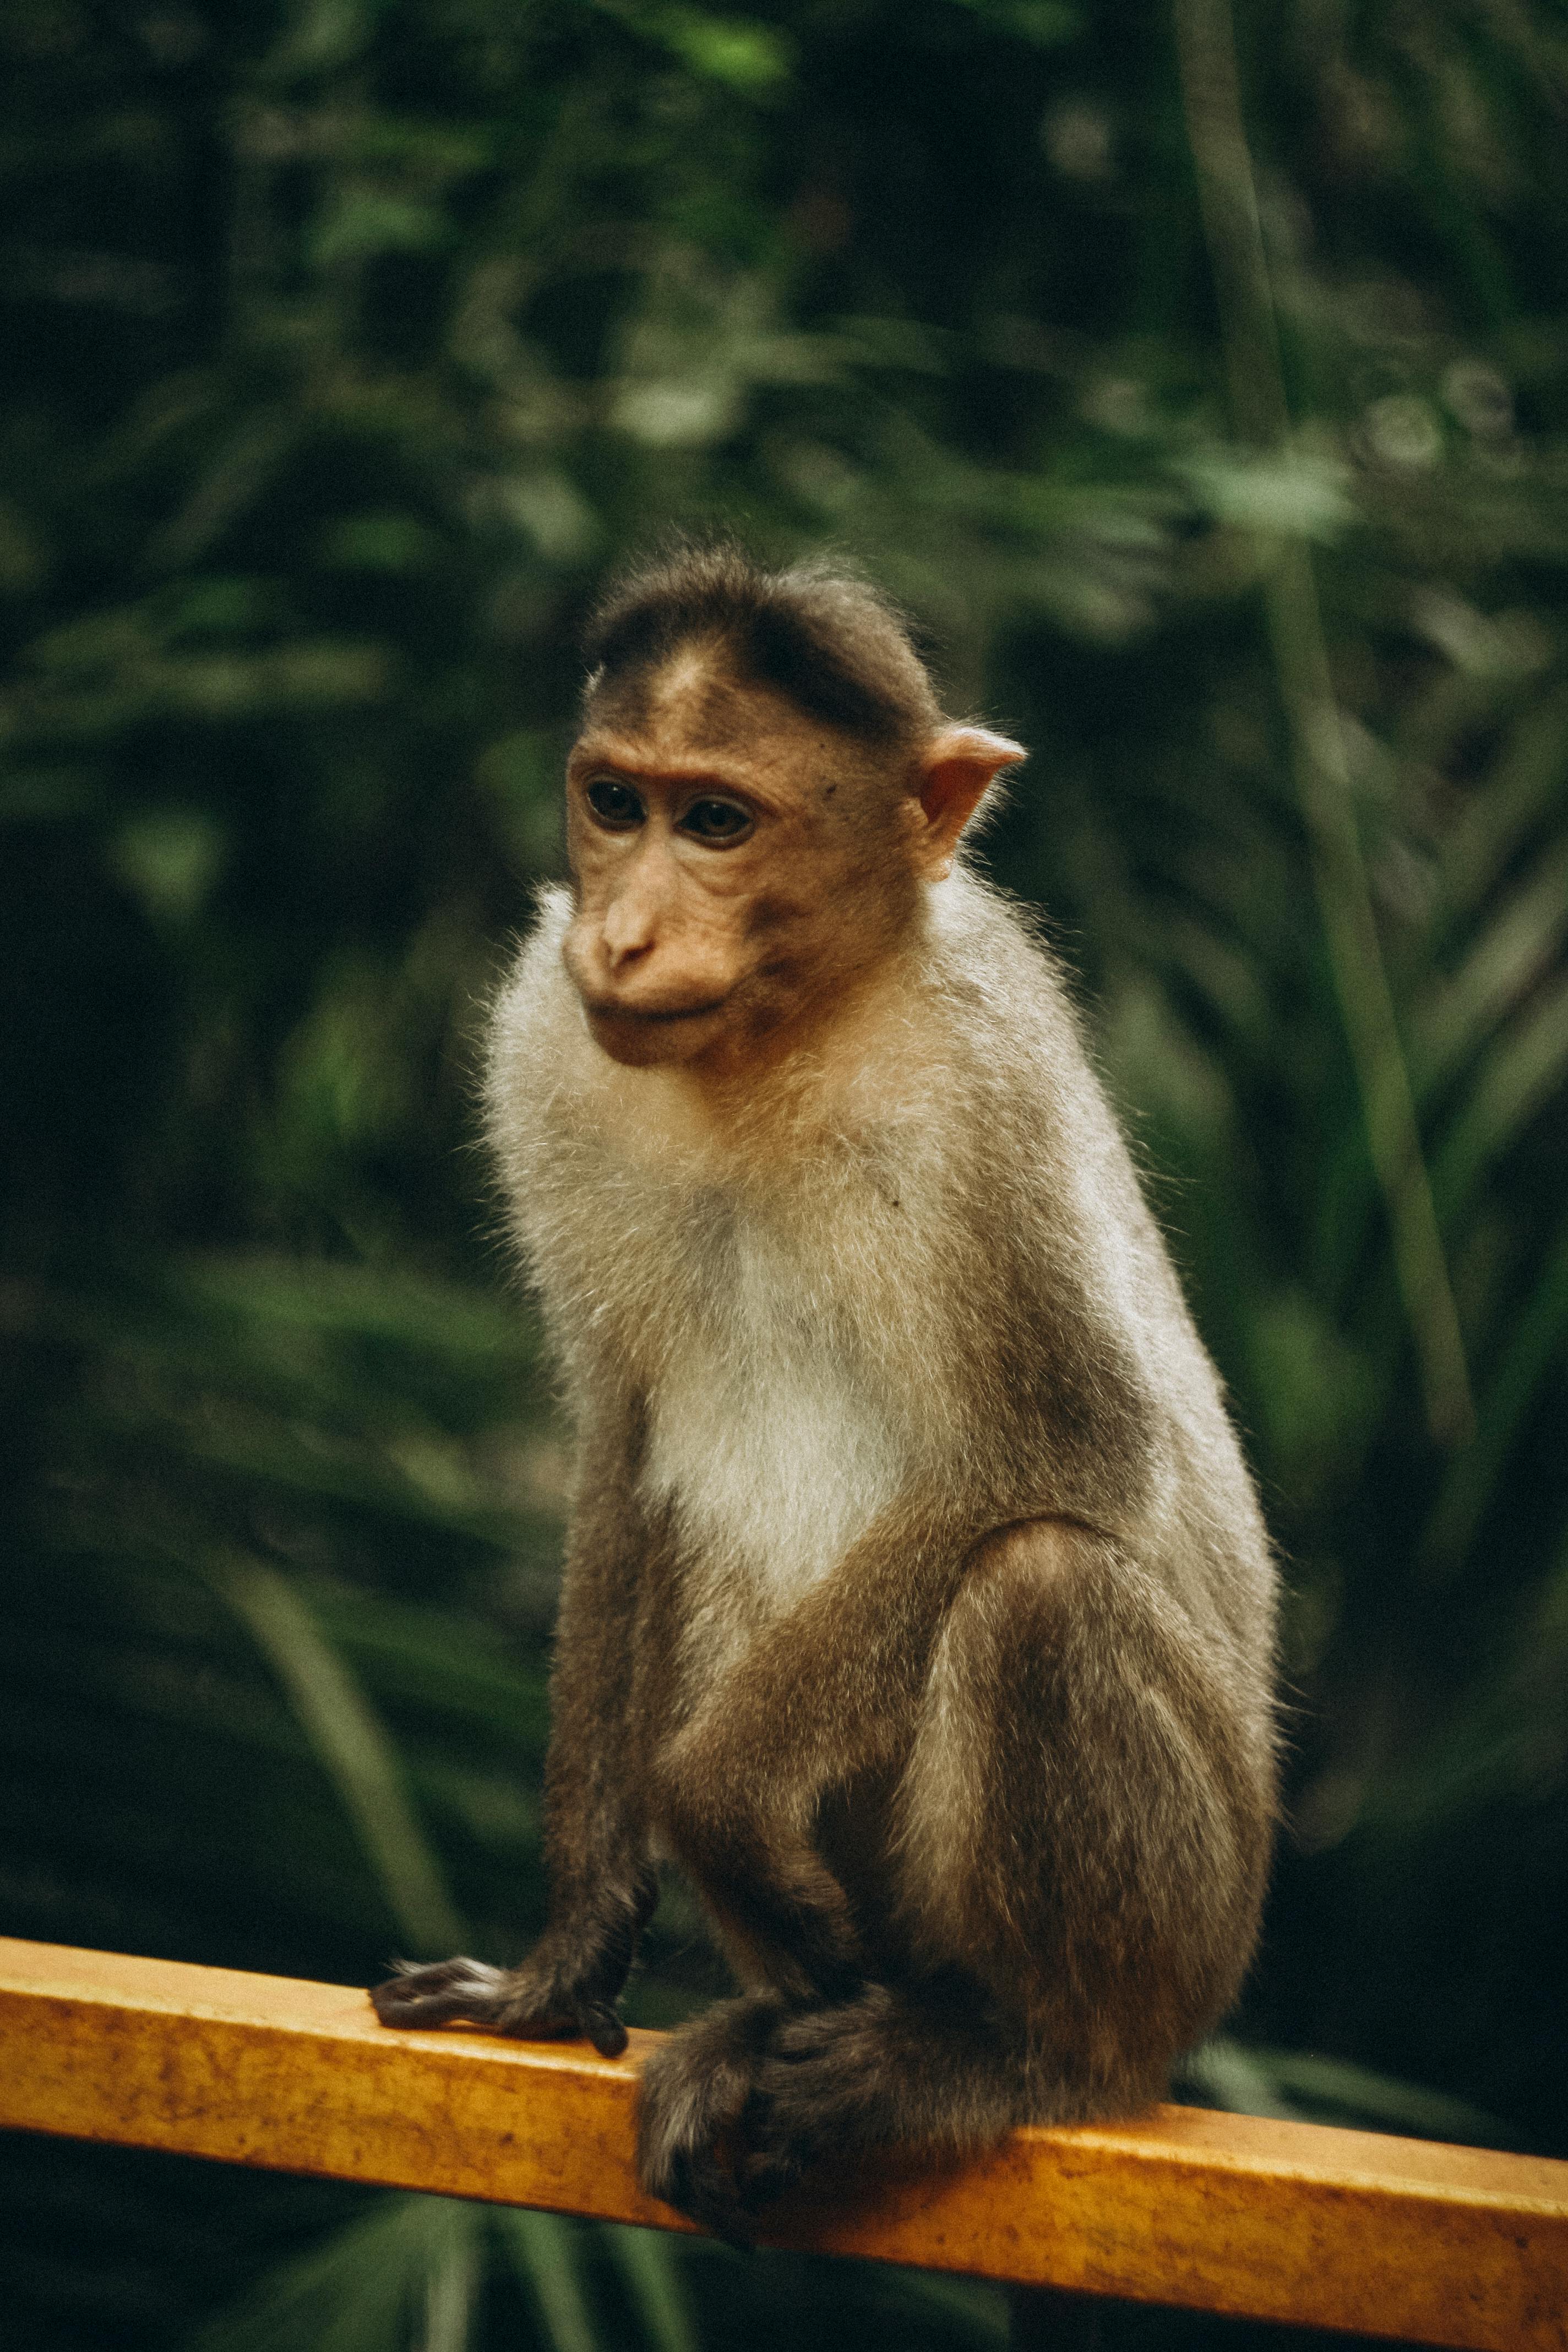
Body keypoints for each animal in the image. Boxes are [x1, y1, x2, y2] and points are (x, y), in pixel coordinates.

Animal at [372, 542, 1279, 2243]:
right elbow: (623, 1447)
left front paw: (713, 1802)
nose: (623, 935)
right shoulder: (545, 1041)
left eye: (718, 823)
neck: (789, 1033)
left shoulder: (980, 1080)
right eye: (617, 802)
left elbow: (1065, 1450)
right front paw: (562, 1962)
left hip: (1194, 1924)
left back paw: (1012, 2052)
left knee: (1036, 1582)